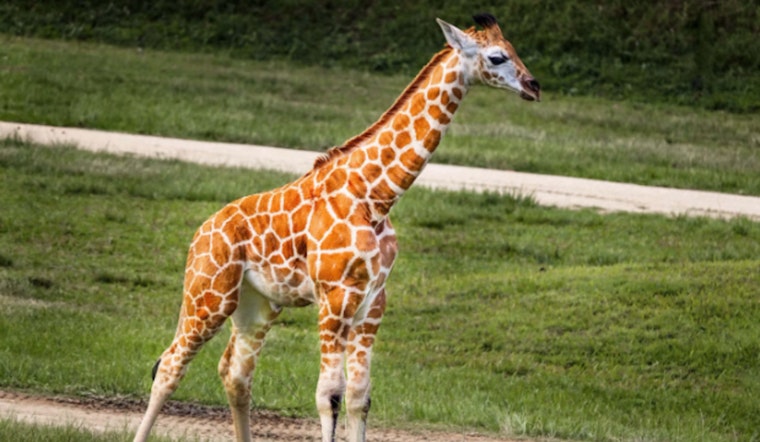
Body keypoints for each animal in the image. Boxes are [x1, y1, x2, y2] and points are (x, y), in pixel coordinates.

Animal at [134, 13, 539, 442]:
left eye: (513, 49)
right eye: (496, 57)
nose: (534, 86)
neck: (374, 196)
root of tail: (200, 233)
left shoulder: (372, 302)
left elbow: (360, 396)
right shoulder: (335, 297)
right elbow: (328, 395)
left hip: (256, 304)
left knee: (235, 375)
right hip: (209, 293)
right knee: (171, 366)